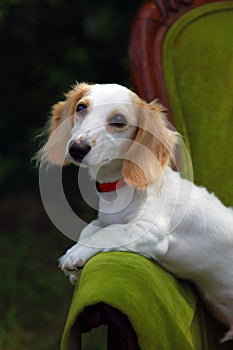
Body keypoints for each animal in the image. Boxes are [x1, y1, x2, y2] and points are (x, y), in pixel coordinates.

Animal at [36, 82, 233, 342]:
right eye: (81, 107)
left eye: (119, 121)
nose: (77, 148)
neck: (120, 187)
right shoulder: (103, 219)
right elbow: (91, 228)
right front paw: (77, 266)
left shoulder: (151, 231)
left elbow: (111, 232)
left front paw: (75, 254)